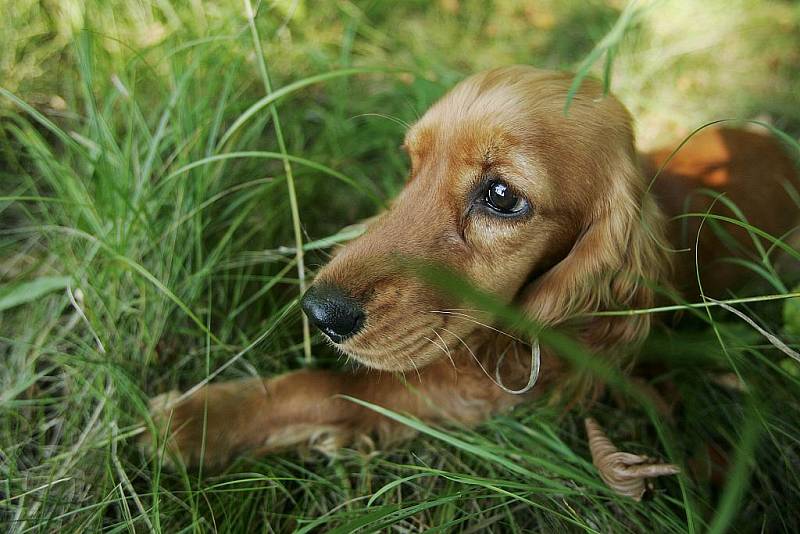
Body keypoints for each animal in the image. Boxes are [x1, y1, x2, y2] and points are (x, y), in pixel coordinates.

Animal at [147, 67, 796, 474]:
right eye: (412, 165)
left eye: (502, 196)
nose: (319, 311)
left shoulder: (480, 388)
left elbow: (331, 386)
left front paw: (197, 421)